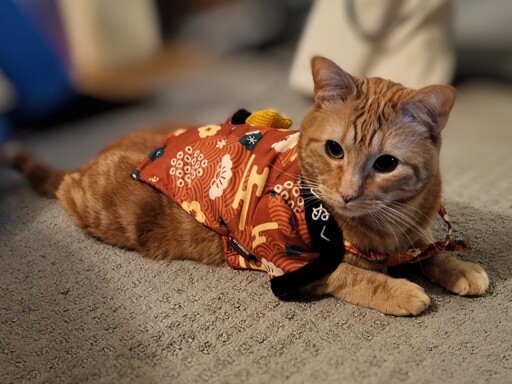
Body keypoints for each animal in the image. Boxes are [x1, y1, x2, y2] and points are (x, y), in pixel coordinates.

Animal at [7, 56, 488, 316]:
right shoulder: (288, 263)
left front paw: (458, 267)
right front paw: (402, 290)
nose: (348, 193)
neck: (381, 229)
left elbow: (429, 249)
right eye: (335, 150)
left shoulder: (412, 233)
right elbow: (354, 274)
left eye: (386, 163)